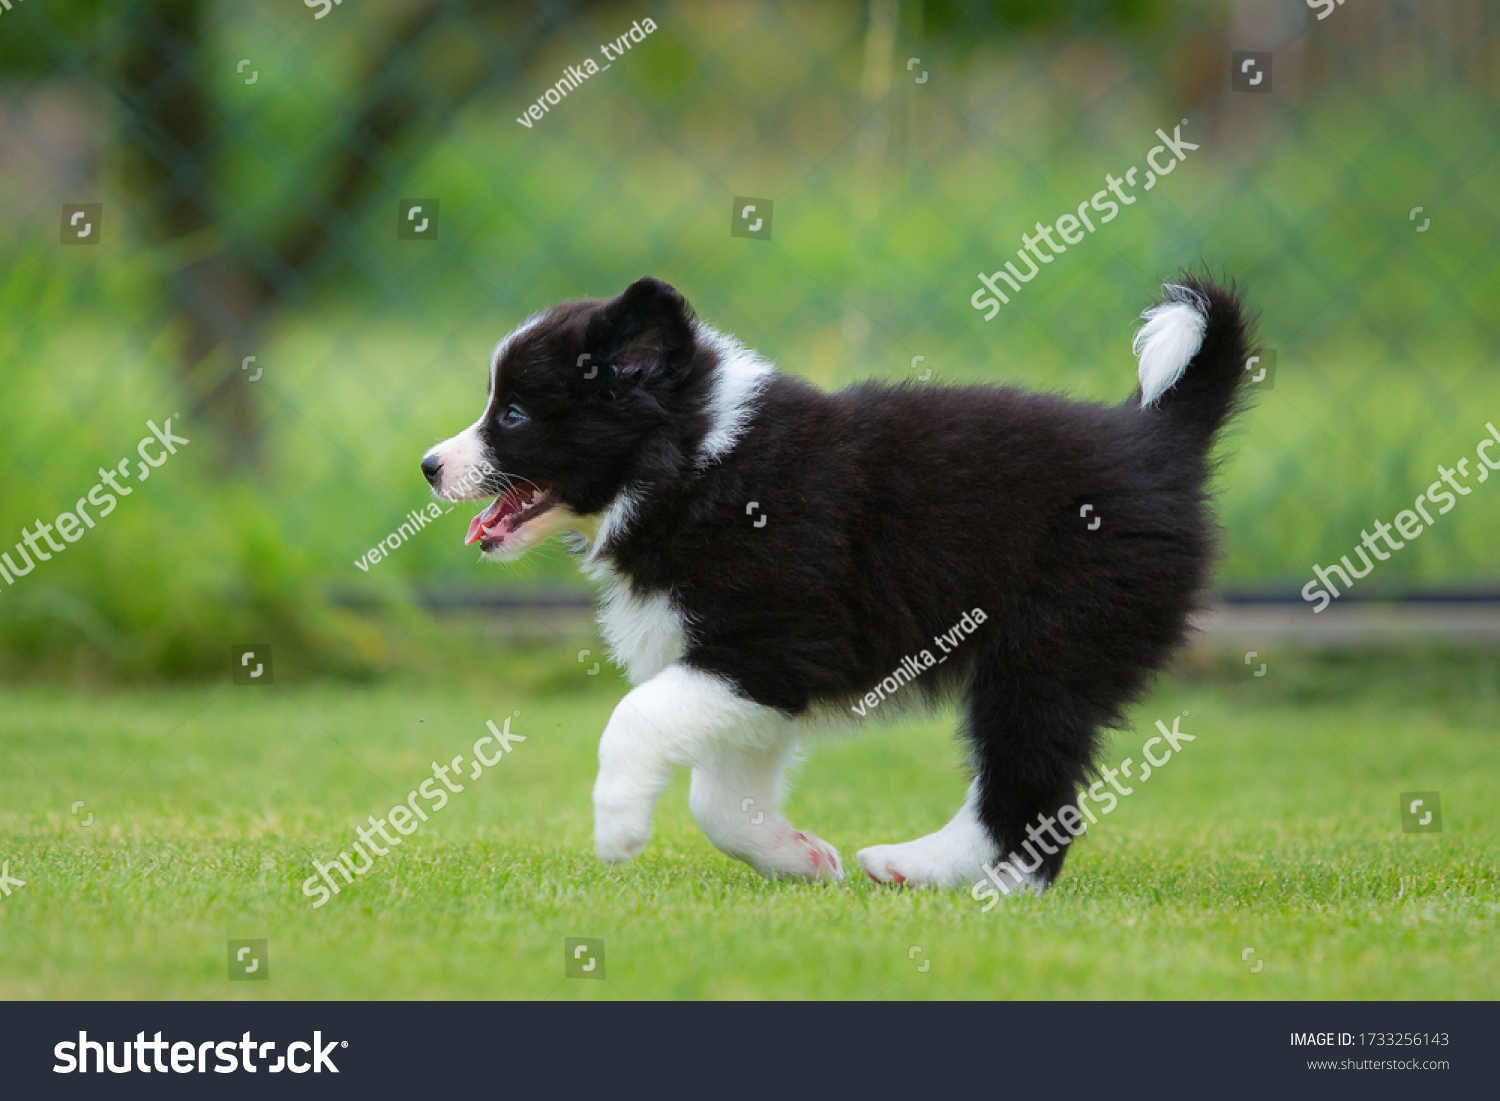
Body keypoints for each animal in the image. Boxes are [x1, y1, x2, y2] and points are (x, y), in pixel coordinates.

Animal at [423, 276, 1254, 900]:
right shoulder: (751, 678)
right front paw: (796, 855)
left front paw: (618, 824)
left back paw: (945, 873)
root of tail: (1158, 440)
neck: (696, 463)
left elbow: (636, 717)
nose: (429, 466)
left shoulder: (774, 643)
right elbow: (717, 800)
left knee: (1031, 787)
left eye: (514, 413)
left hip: (1049, 646)